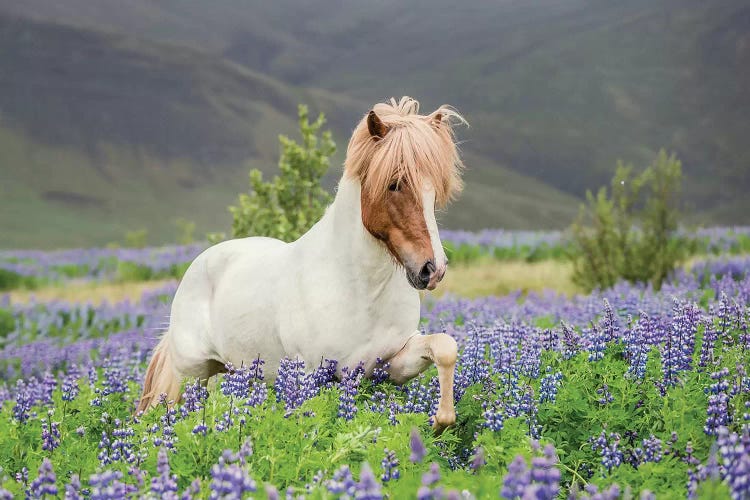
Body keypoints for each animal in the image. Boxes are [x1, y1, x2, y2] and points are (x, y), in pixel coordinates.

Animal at [135, 96, 464, 430]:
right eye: (394, 184)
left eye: (435, 189)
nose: (432, 269)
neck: (361, 290)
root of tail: (200, 263)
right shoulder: (312, 373)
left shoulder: (392, 363)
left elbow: (445, 348)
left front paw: (439, 422)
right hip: (192, 375)